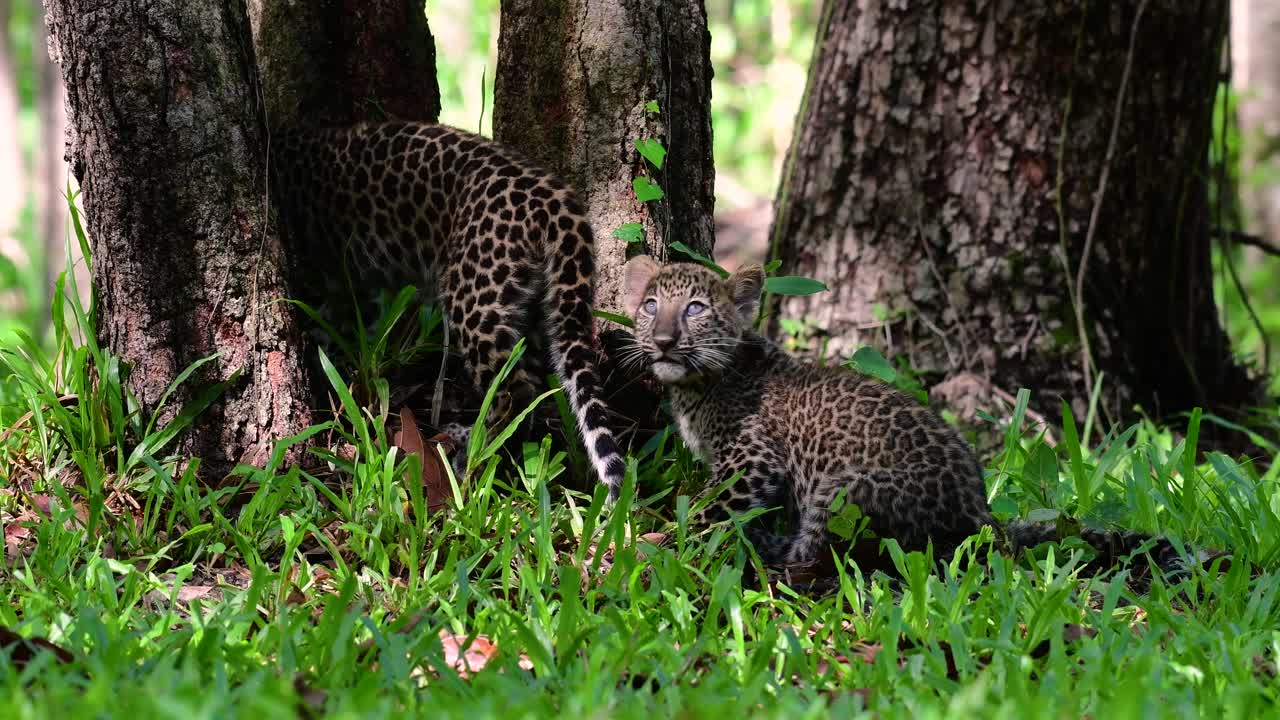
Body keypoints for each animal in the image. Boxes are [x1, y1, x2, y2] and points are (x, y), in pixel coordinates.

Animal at [269, 121, 625, 494]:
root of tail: (557, 197)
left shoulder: (323, 284)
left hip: (473, 296)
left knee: (514, 391)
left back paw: (470, 455)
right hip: (534, 305)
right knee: (534, 381)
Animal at [622, 256, 1209, 578]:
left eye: (695, 309)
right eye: (650, 305)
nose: (664, 339)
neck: (700, 387)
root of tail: (979, 512)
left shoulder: (753, 462)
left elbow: (707, 509)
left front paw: (655, 544)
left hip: (842, 487)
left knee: (825, 555)